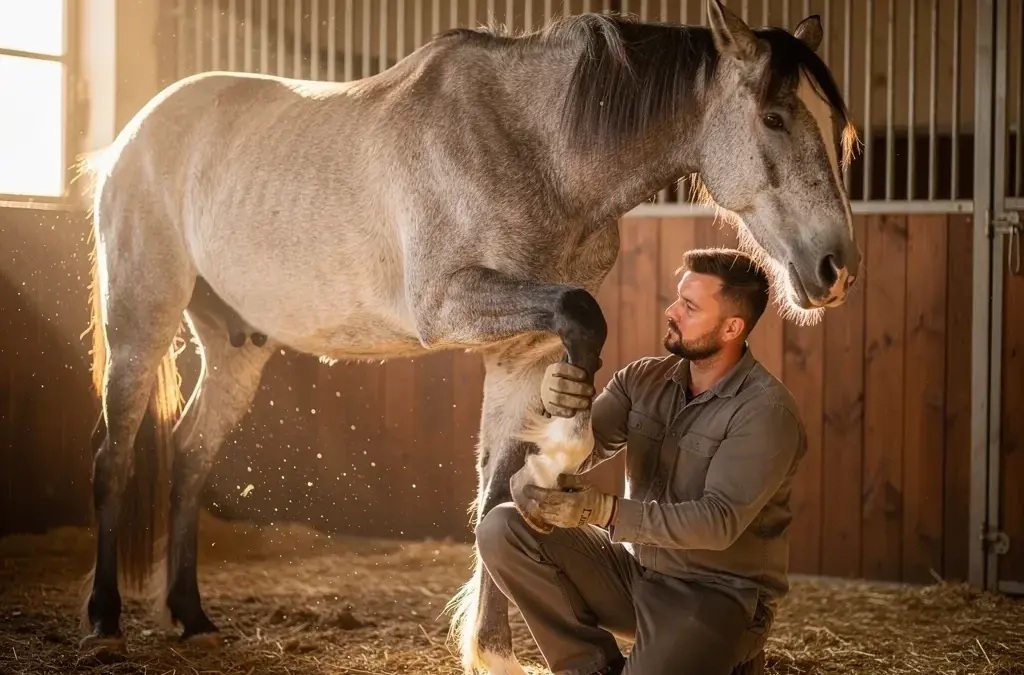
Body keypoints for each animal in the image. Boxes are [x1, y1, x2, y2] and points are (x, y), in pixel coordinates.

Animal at [75, 3, 860, 674]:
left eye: (838, 129)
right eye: (774, 116)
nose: (836, 267)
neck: (535, 147)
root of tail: (131, 136)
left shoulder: (521, 351)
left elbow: (491, 494)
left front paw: (491, 647)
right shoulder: (451, 304)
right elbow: (582, 319)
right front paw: (563, 447)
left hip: (235, 343)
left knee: (190, 454)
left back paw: (191, 616)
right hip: (141, 317)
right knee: (115, 455)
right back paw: (106, 621)